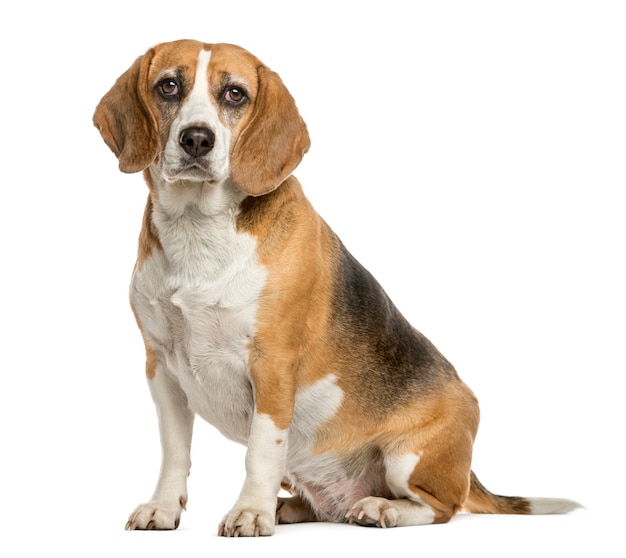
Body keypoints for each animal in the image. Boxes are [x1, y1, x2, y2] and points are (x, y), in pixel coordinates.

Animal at [91, 39, 576, 540]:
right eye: (168, 85)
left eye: (235, 94)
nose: (196, 139)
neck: (199, 231)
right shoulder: (162, 368)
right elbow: (175, 452)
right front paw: (164, 508)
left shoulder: (272, 366)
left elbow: (260, 452)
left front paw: (250, 512)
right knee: (324, 507)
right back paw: (291, 507)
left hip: (408, 460)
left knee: (443, 506)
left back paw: (382, 508)